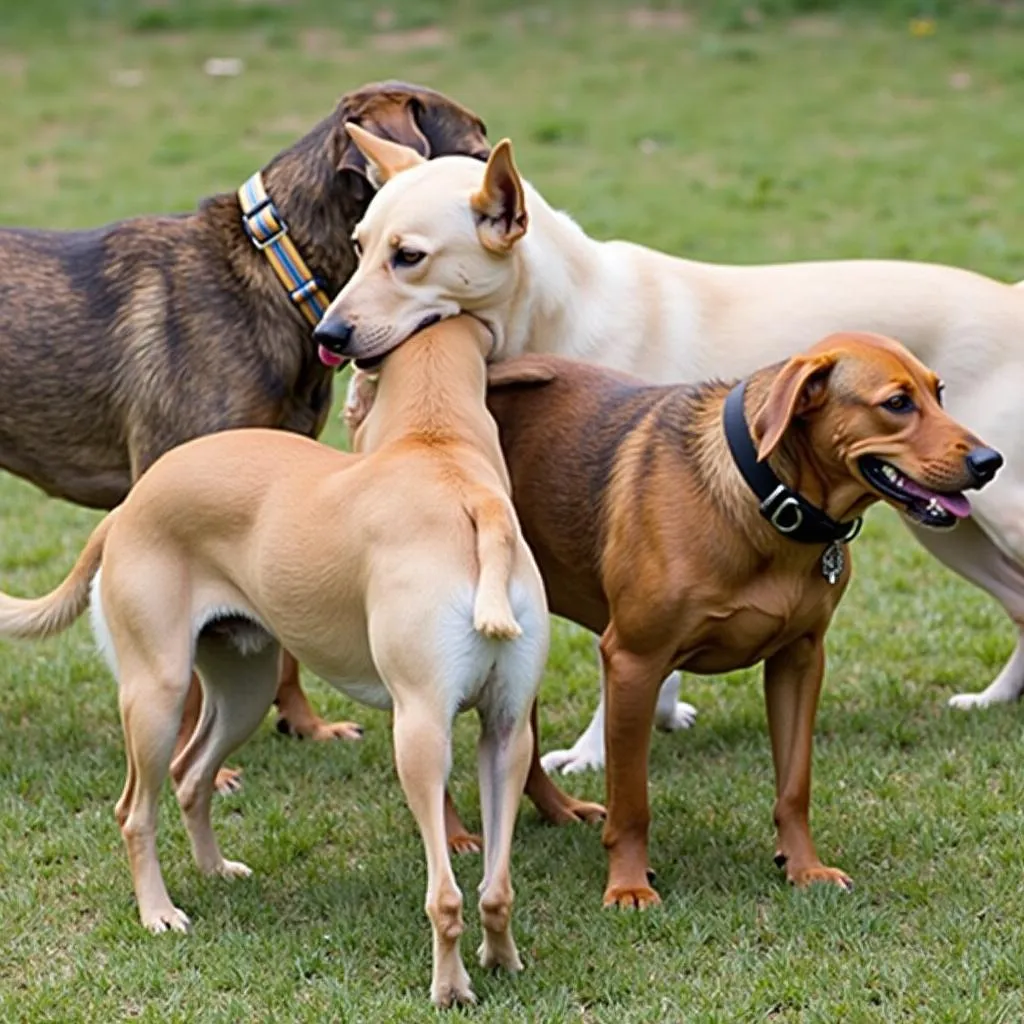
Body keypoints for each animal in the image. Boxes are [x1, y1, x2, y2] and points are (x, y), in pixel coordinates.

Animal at [0, 81, 491, 782]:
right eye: (474, 158)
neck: (279, 277)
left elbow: (284, 644)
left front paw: (304, 725)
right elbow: (184, 676)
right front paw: (191, 759)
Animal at [313, 121, 1024, 774]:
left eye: (409, 257)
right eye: (359, 247)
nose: (329, 333)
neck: (555, 314)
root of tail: (1010, 297)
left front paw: (593, 753)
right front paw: (660, 713)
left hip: (999, 510)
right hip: (946, 521)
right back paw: (996, 699)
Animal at [475, 331, 1003, 909]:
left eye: (939, 393)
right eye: (898, 403)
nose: (991, 460)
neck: (769, 498)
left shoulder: (800, 660)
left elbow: (795, 786)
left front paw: (803, 867)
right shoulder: (634, 663)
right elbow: (632, 801)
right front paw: (629, 883)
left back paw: (558, 810)